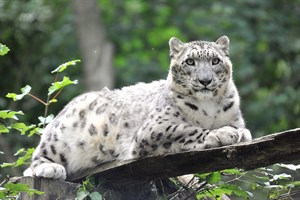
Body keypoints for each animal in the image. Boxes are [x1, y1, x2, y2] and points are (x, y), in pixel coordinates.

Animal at [24, 35, 252, 180]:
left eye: (215, 61)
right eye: (190, 61)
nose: (205, 80)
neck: (209, 106)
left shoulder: (236, 118)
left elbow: (243, 129)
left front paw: (237, 133)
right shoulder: (156, 127)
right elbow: (187, 129)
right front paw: (222, 133)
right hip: (59, 137)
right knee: (36, 158)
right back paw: (49, 168)